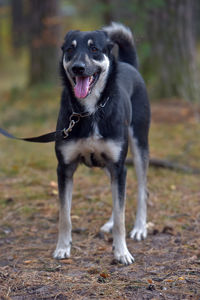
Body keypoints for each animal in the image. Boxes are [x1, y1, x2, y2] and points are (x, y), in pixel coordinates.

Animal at [53, 22, 150, 264]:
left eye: (94, 49)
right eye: (70, 49)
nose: (78, 68)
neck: (90, 111)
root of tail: (129, 65)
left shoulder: (119, 166)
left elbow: (121, 216)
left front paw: (122, 252)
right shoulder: (64, 168)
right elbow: (65, 215)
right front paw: (63, 247)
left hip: (138, 145)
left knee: (142, 190)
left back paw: (140, 227)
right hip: (109, 164)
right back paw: (109, 223)